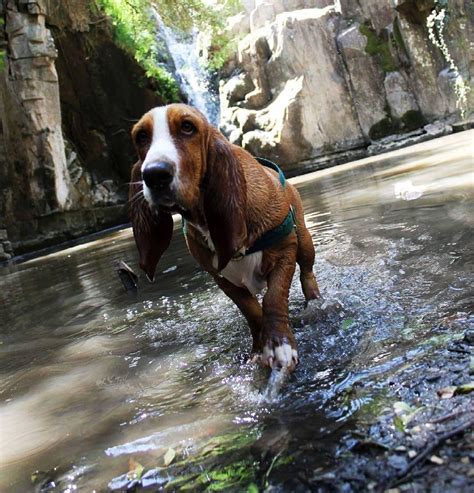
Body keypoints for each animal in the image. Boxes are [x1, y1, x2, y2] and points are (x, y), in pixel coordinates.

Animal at [130, 104, 322, 372]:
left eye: (187, 127)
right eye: (141, 137)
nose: (154, 174)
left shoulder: (285, 250)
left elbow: (273, 299)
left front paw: (279, 345)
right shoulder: (223, 280)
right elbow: (252, 311)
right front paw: (259, 348)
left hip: (304, 241)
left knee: (307, 272)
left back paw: (315, 302)